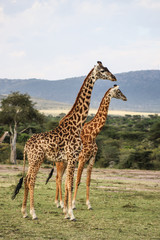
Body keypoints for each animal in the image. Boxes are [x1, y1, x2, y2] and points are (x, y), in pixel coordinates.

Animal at [11, 61, 116, 220]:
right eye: (103, 70)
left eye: (108, 69)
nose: (114, 77)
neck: (78, 124)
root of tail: (25, 146)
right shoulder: (73, 157)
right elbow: (70, 184)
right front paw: (71, 214)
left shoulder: (70, 158)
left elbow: (68, 183)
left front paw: (66, 212)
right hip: (36, 159)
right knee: (31, 181)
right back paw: (33, 213)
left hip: (32, 160)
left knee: (27, 180)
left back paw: (24, 212)